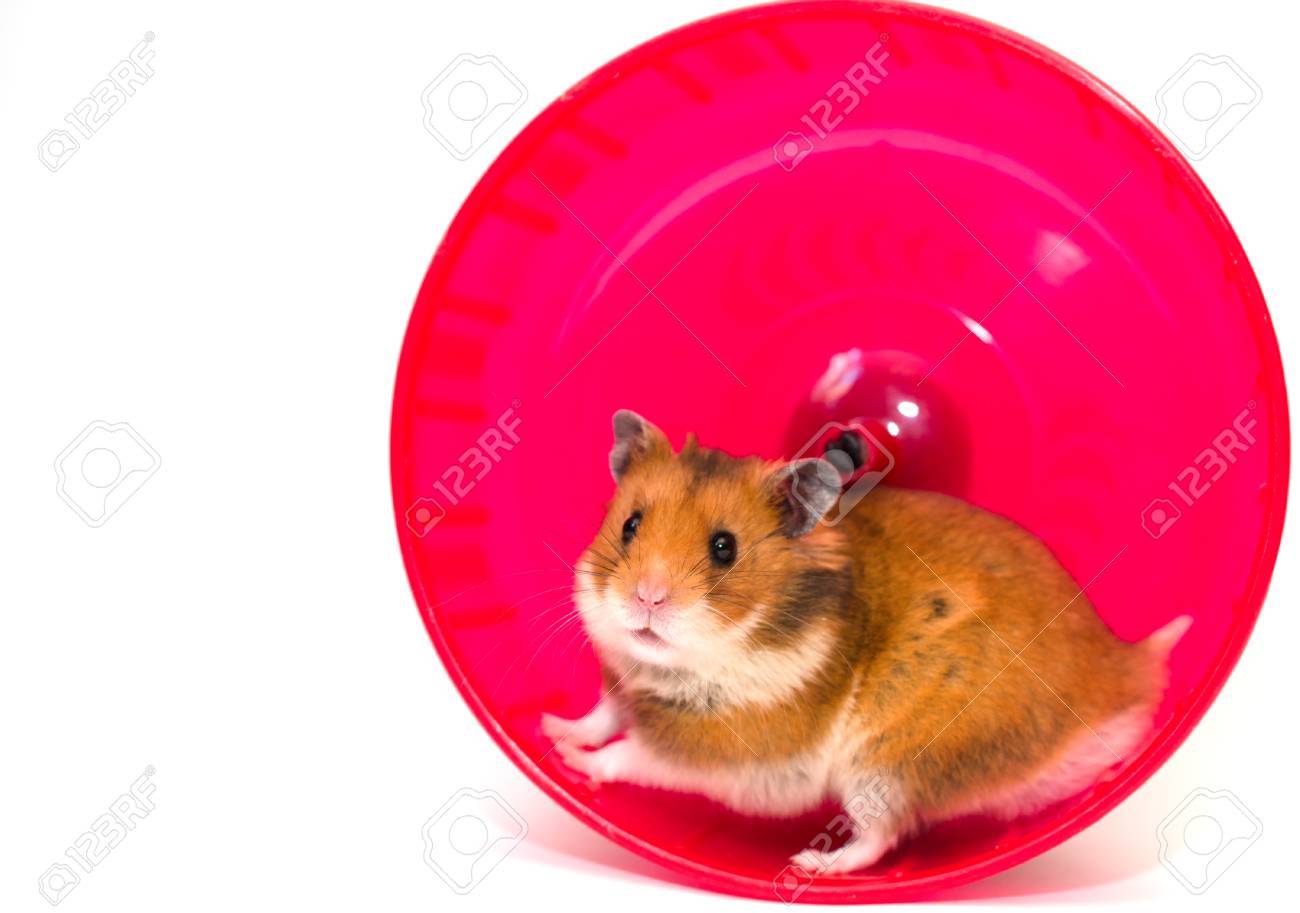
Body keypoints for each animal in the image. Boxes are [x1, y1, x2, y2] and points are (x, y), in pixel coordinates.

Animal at [542, 410, 1188, 874]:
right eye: (630, 525)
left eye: (724, 548)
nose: (647, 600)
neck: (670, 668)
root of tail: (1123, 670)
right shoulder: (621, 686)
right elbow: (602, 717)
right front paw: (553, 733)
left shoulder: (721, 753)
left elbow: (631, 755)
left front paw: (575, 765)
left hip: (884, 764)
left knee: (881, 838)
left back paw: (811, 862)